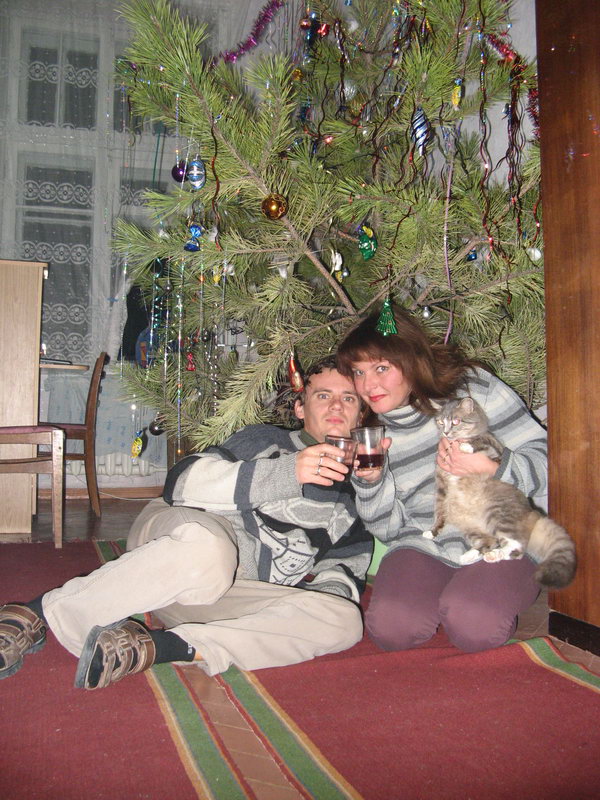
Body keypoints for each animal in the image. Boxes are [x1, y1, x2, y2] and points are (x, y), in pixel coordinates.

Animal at [423, 396, 577, 589]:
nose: (445, 432)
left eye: (456, 421)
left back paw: (491, 555)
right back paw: (470, 556)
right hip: (473, 527)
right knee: (492, 541)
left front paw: (466, 447)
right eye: (441, 422)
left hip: (497, 513)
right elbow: (439, 513)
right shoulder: (442, 487)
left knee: (517, 548)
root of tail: (532, 513)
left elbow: (481, 440)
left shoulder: (494, 448)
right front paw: (432, 531)